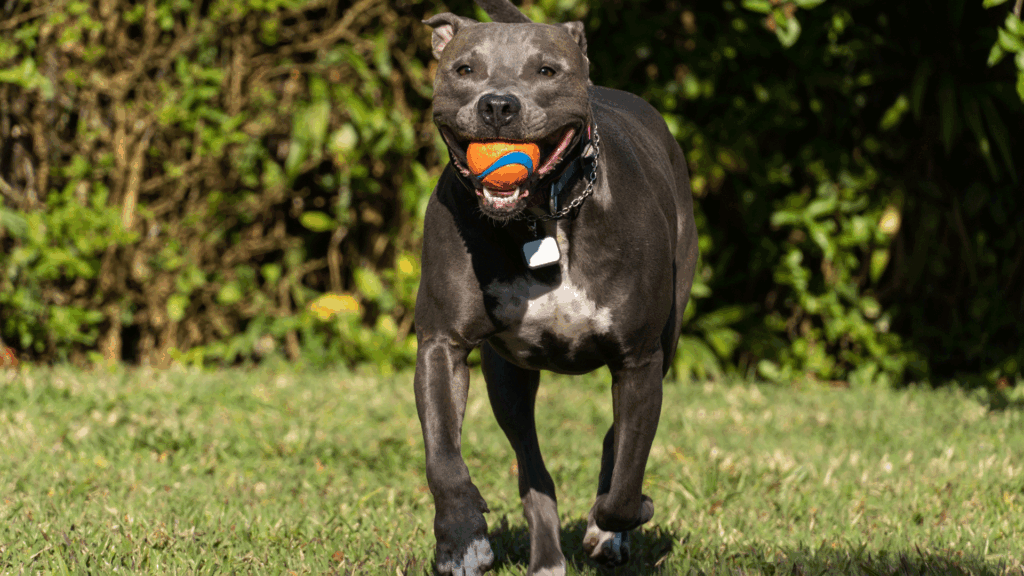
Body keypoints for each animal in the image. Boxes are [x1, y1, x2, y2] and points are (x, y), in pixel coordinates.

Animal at [411, 2, 700, 569]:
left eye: (546, 70)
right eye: (465, 69)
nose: (498, 105)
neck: (541, 217)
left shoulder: (639, 360)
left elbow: (624, 485)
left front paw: (616, 522)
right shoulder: (441, 343)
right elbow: (443, 457)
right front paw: (460, 537)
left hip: (663, 345)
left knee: (615, 447)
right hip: (508, 380)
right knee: (533, 472)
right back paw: (545, 559)